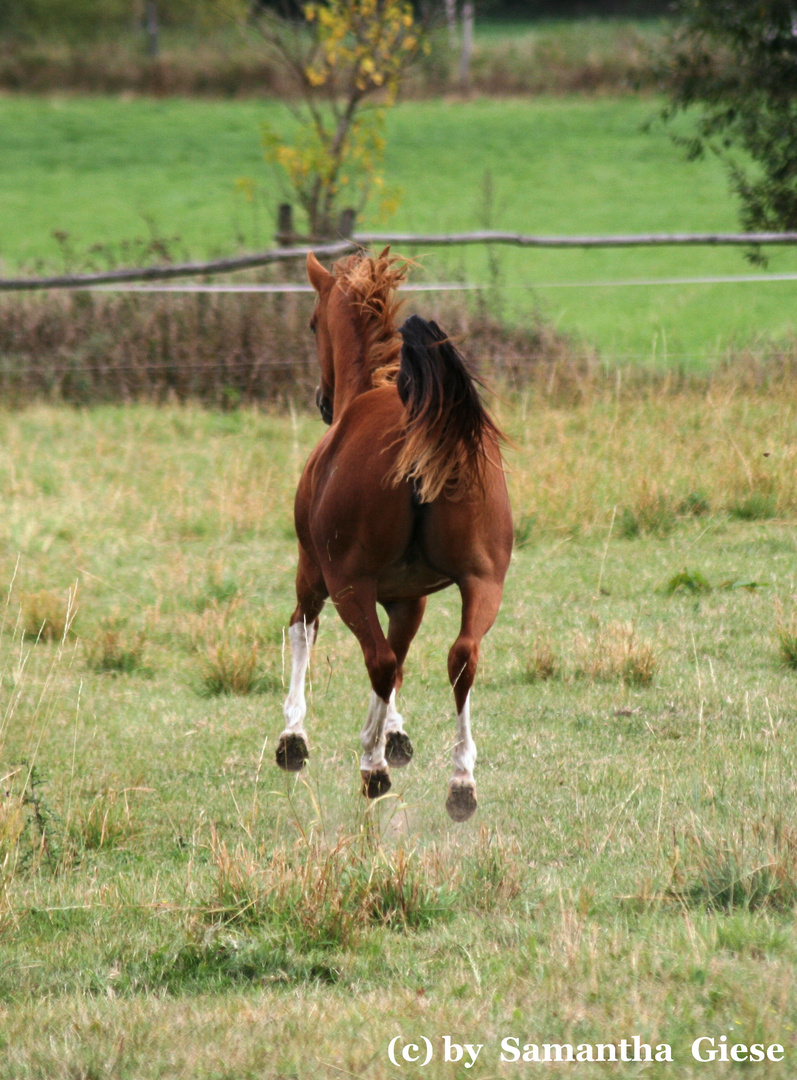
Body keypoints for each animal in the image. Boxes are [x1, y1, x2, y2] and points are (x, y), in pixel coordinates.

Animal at [276, 250, 511, 816]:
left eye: (312, 323)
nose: (321, 400)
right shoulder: (410, 597)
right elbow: (403, 659)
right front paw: (396, 733)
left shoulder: (314, 571)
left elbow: (304, 631)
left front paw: (295, 737)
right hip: (484, 582)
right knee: (462, 658)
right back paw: (461, 782)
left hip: (346, 584)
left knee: (377, 660)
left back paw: (372, 766)